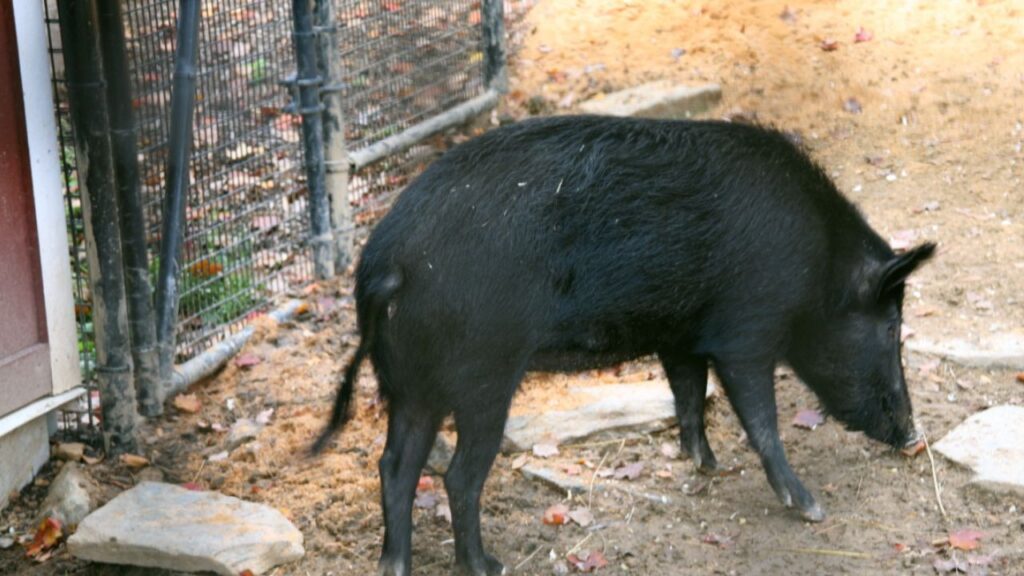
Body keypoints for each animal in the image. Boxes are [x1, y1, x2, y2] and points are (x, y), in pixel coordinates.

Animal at [312, 116, 935, 576]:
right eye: (890, 328)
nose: (912, 435)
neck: (819, 264)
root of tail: (386, 265)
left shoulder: (682, 334)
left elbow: (689, 394)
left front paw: (706, 465)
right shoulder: (746, 332)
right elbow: (760, 419)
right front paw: (810, 509)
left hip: (410, 383)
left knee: (394, 467)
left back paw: (395, 565)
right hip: (483, 376)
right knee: (458, 476)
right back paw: (489, 565)